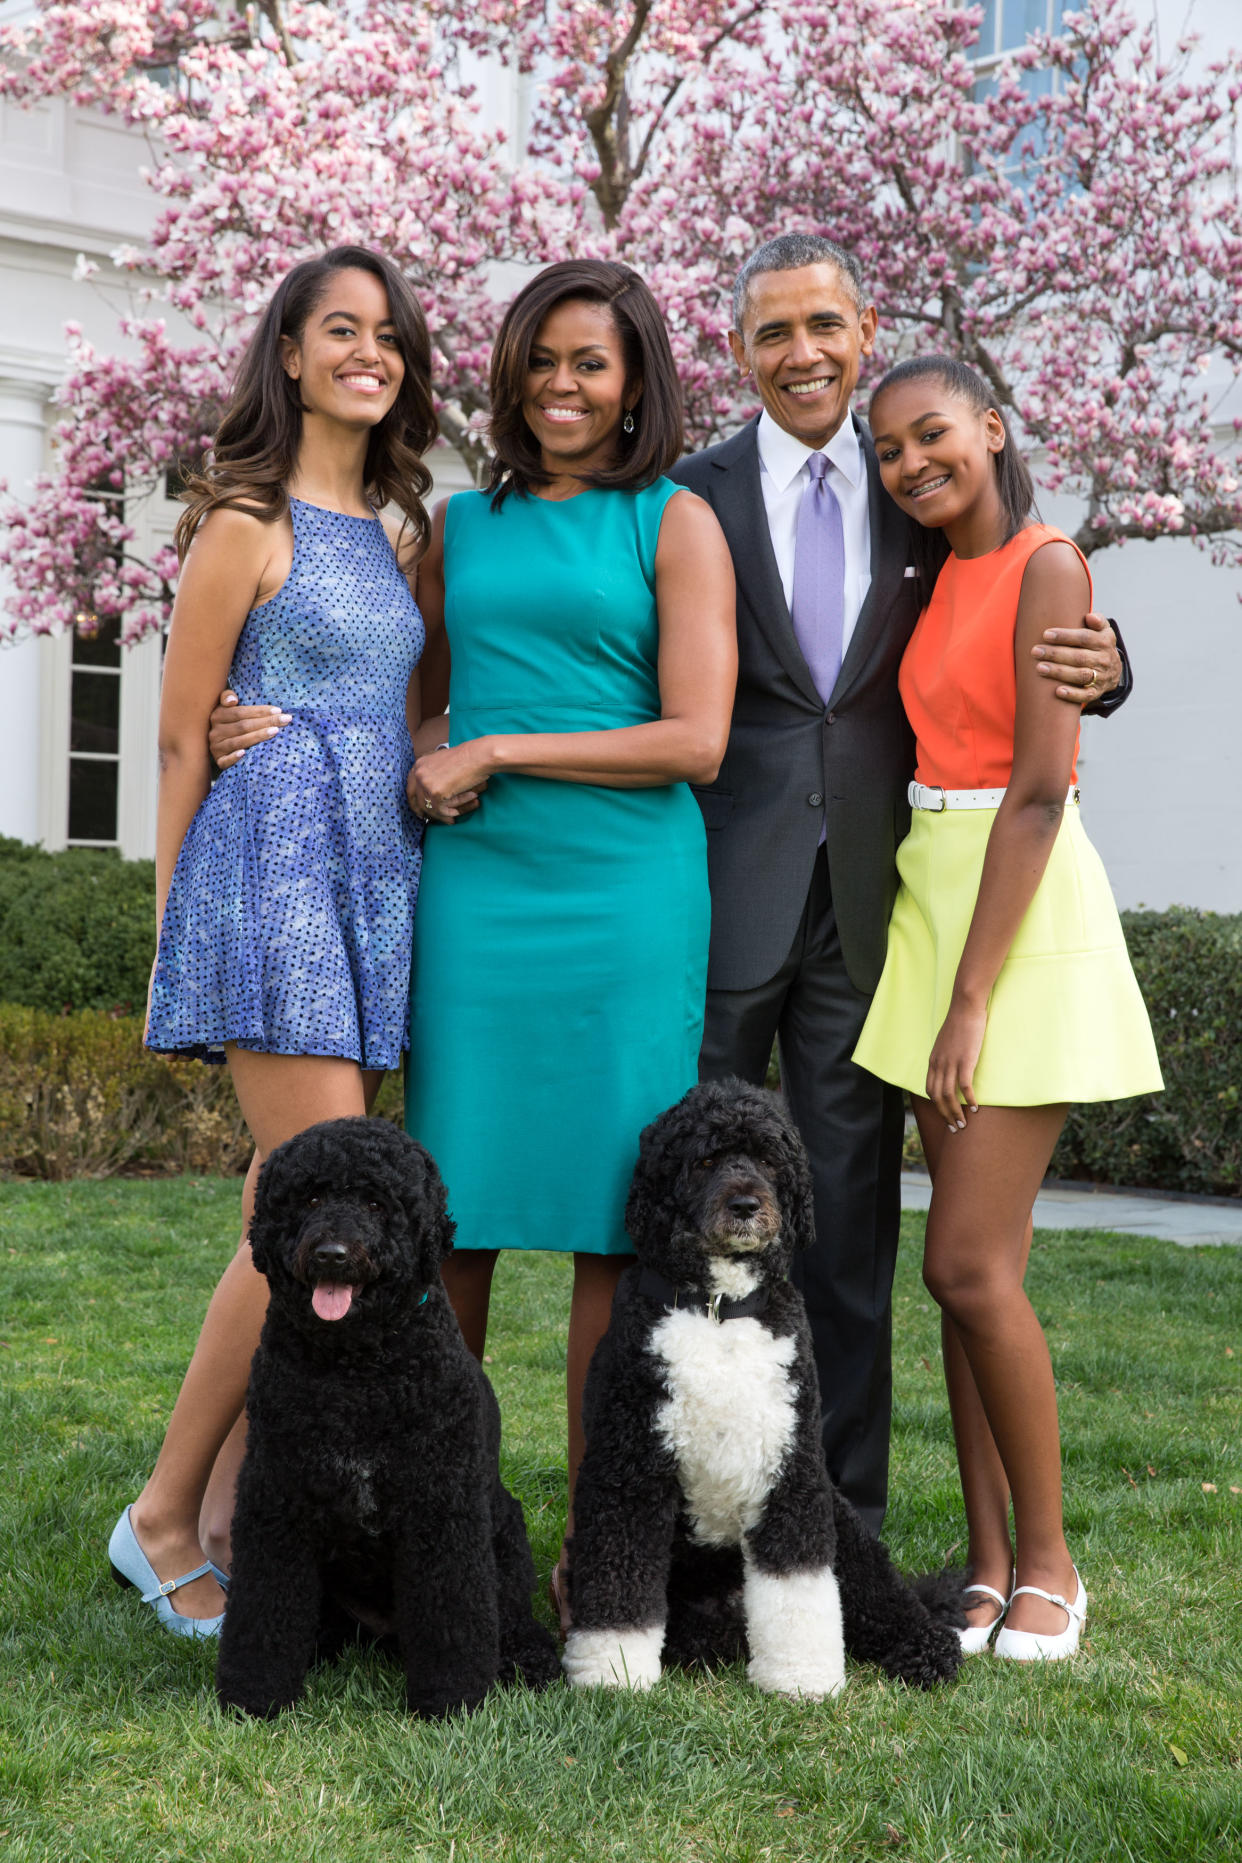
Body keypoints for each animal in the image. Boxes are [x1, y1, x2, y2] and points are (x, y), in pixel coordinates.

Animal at [217, 1110, 558, 1721]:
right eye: (310, 1197)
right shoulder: (276, 1497)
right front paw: (256, 1692)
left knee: (512, 1617)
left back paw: (529, 1660)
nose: (331, 1253)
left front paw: (452, 1698)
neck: (356, 1373)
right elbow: (264, 1607)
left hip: (503, 1530)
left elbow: (452, 1615)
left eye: (377, 1203)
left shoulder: (441, 1505)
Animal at [562, 1080, 960, 1706]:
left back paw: (926, 1648)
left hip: (843, 1524)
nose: (746, 1205)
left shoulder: (791, 1472)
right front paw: (613, 1673)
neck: (720, 1309)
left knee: (885, 1596)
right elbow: (619, 1583)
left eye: (770, 1161)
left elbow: (797, 1586)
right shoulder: (628, 1471)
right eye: (704, 1161)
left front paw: (801, 1677)